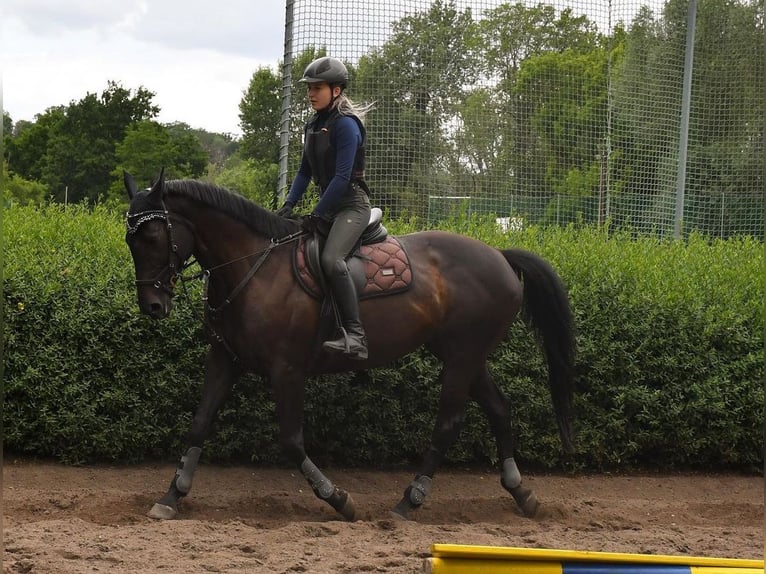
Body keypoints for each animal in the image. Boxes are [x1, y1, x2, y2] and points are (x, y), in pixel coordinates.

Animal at [124, 170, 576, 520]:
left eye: (152, 236)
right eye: (131, 240)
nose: (152, 305)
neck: (254, 268)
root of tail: (500, 255)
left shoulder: (286, 370)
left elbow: (291, 441)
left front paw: (338, 499)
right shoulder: (224, 359)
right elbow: (199, 423)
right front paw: (171, 496)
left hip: (463, 357)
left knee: (449, 423)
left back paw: (410, 501)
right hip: (463, 355)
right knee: (500, 409)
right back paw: (521, 493)